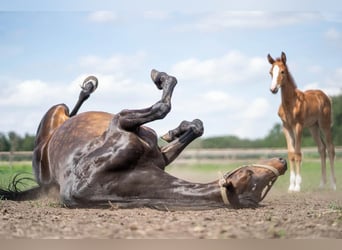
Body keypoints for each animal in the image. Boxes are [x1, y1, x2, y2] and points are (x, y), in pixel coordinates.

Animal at [0, 70, 286, 209]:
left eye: (263, 185)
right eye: (252, 174)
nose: (282, 162)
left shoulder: (156, 154)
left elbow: (190, 126)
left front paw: (177, 129)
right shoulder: (123, 121)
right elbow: (164, 105)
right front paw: (159, 78)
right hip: (55, 111)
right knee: (71, 107)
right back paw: (88, 87)